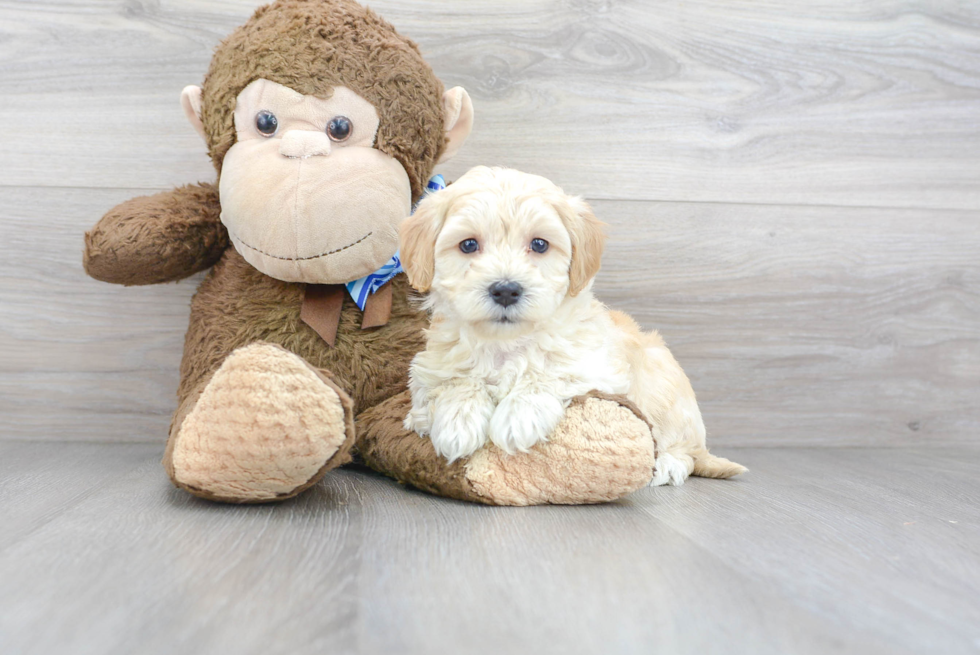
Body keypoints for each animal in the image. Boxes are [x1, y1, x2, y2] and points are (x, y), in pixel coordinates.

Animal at [398, 167, 744, 484]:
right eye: (468, 245)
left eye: (539, 244)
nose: (506, 290)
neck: (506, 343)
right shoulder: (427, 372)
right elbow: (454, 382)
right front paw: (457, 420)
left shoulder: (598, 366)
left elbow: (550, 371)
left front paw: (517, 417)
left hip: (666, 391)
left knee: (686, 450)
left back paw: (667, 465)